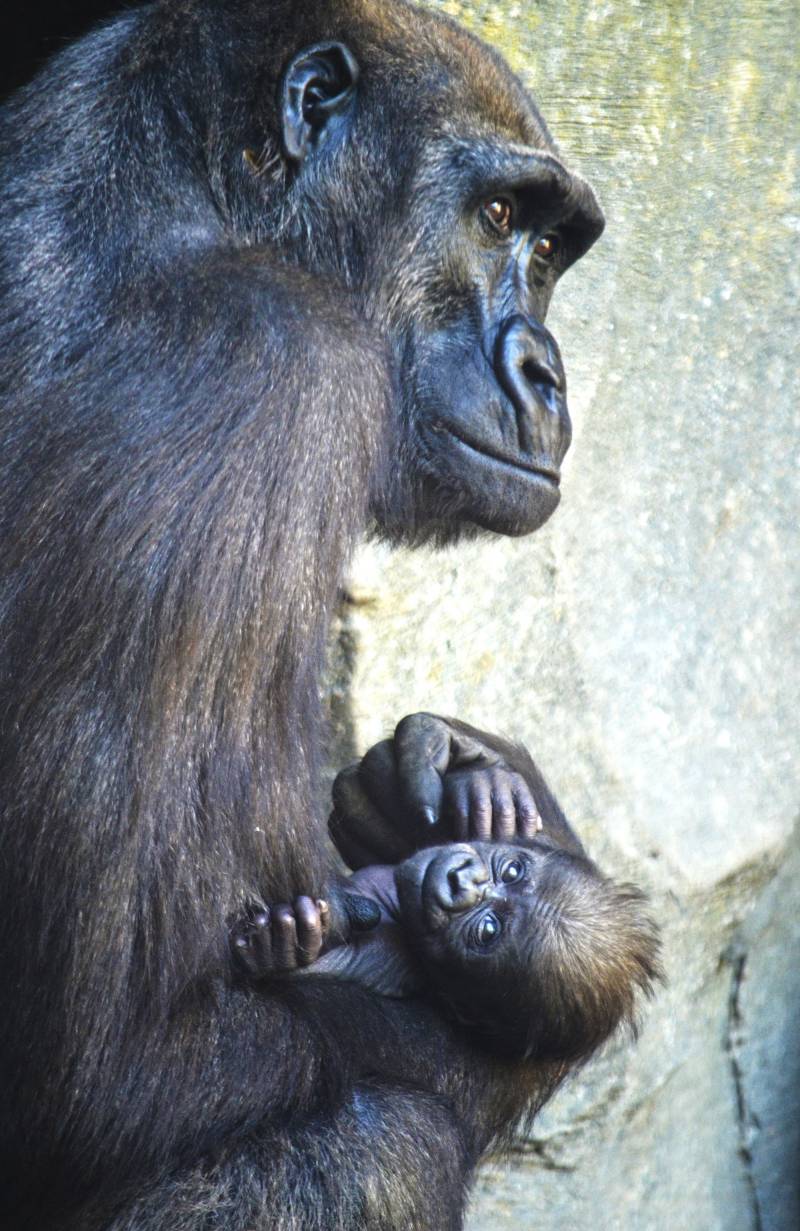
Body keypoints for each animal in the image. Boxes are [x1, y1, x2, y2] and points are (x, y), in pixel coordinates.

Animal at [0, 2, 598, 1231]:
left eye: (550, 251)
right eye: (498, 218)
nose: (546, 375)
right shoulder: (267, 363)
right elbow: (102, 1069)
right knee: (384, 1133)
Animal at [230, 782, 654, 1063]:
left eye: (488, 930)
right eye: (513, 870)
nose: (462, 881)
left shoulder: (385, 960)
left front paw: (284, 943)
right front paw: (483, 779)